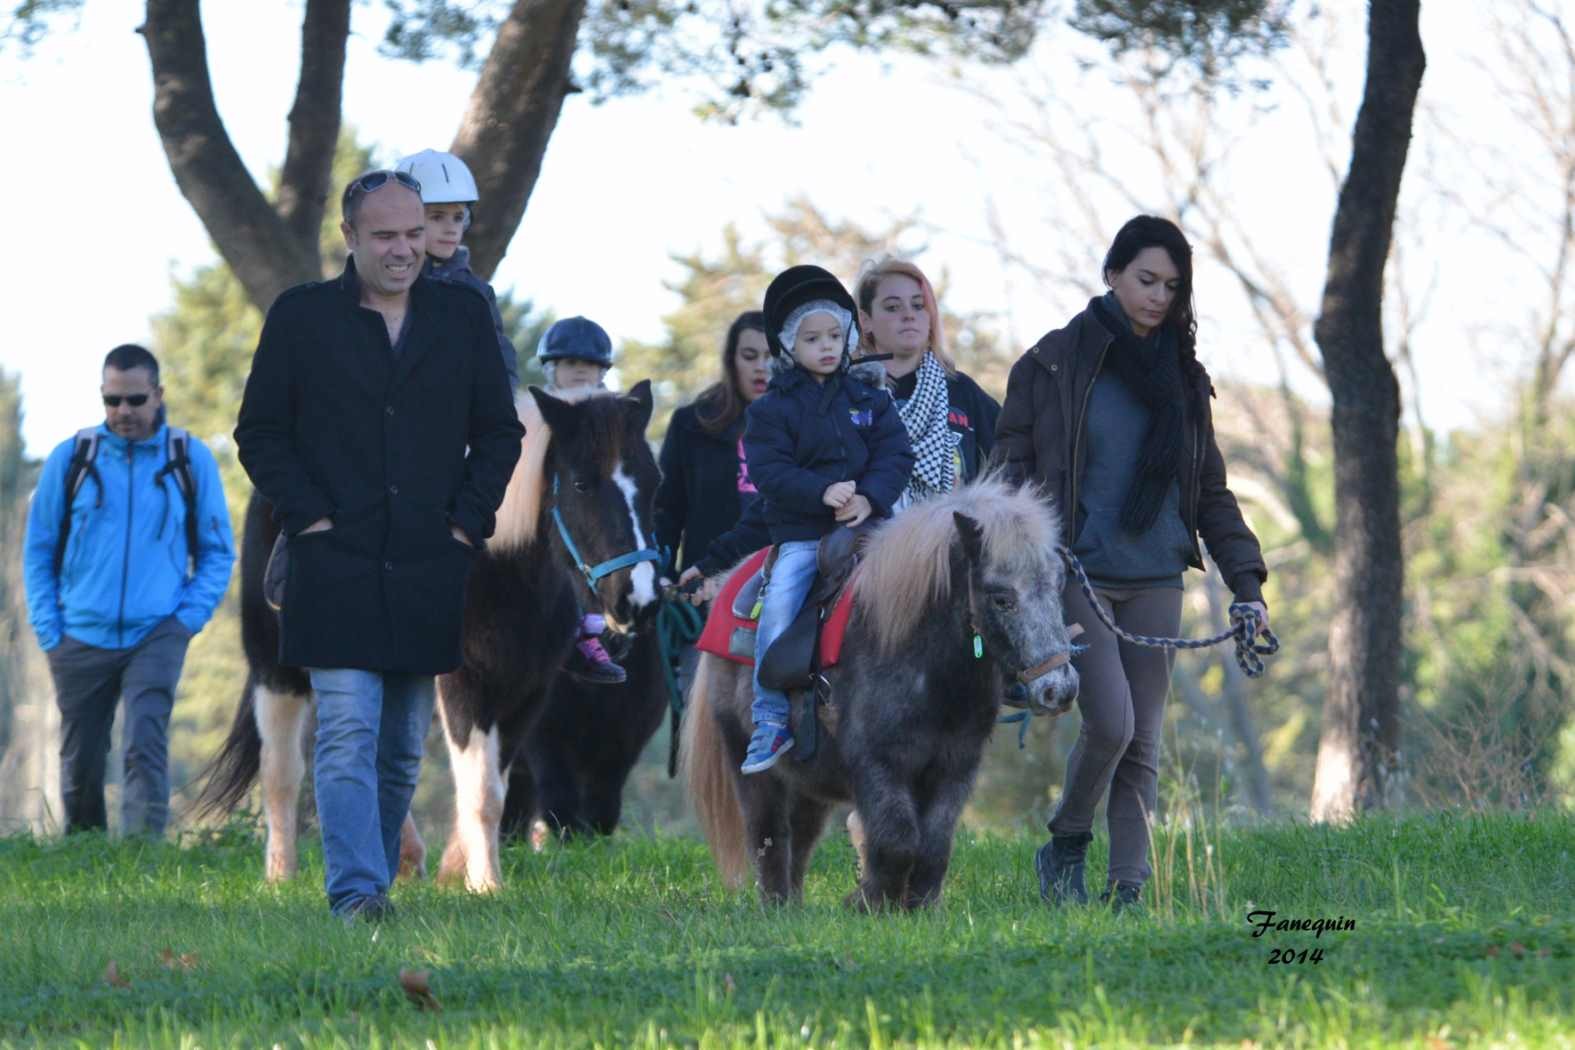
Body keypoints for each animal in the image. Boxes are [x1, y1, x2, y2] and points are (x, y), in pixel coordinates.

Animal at [196, 385, 664, 894]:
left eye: (653, 479)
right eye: (581, 484)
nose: (637, 599)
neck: (495, 571)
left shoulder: (526, 693)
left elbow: (493, 784)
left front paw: (456, 869)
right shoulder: (464, 686)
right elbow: (482, 792)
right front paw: (485, 885)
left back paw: (402, 858)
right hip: (275, 669)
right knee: (281, 768)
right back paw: (282, 872)